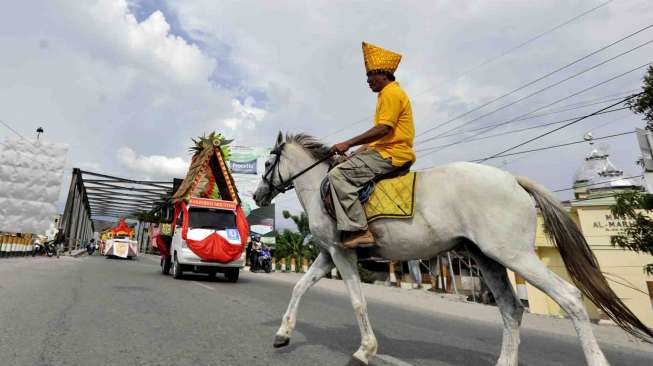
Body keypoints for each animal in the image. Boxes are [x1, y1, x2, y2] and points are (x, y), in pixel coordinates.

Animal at [252, 132, 648, 366]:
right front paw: (283, 334)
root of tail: (511, 179)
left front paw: (365, 350)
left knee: (569, 296)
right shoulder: (328, 254)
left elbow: (357, 301)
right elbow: (300, 286)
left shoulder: (341, 253)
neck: (321, 184)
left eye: (268, 163)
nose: (257, 195)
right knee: (511, 309)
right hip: (486, 257)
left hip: (513, 255)